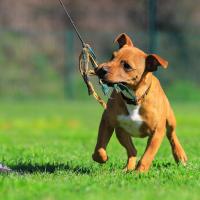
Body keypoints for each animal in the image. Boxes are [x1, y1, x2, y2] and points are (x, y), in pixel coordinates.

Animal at [92, 33, 188, 173]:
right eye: (112, 56)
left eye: (127, 66)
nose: (101, 69)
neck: (134, 98)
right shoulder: (107, 121)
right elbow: (100, 146)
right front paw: (101, 158)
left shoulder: (157, 132)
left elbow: (148, 155)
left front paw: (140, 172)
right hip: (121, 132)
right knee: (132, 150)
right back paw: (128, 168)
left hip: (170, 120)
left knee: (172, 135)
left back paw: (180, 155)